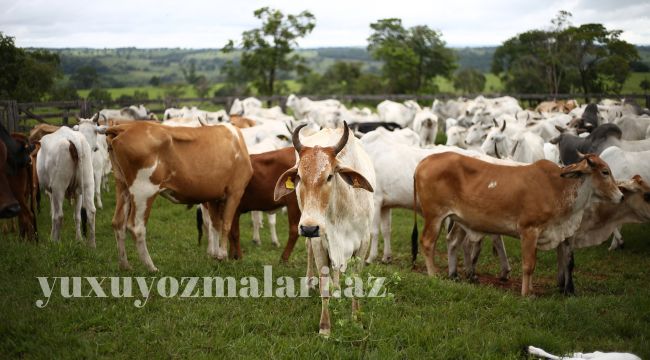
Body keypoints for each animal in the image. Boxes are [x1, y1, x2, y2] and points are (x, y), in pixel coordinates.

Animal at [106, 121, 251, 270]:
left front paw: (215, 256)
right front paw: (223, 255)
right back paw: (151, 267)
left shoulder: (213, 197)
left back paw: (125, 265)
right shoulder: (235, 191)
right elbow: (226, 224)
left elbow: (215, 225)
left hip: (122, 185)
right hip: (143, 191)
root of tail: (126, 127)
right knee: (137, 227)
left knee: (118, 223)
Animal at [274, 122, 374, 336]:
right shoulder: (320, 241)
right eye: (299, 176)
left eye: (329, 176)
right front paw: (325, 328)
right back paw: (309, 283)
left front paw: (356, 319)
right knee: (309, 251)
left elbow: (356, 282)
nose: (309, 228)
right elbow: (324, 286)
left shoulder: (364, 241)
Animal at [412, 152, 620, 296]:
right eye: (605, 172)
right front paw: (526, 294)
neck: (558, 188)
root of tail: (424, 161)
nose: (620, 195)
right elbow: (529, 265)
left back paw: (453, 275)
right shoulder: (529, 231)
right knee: (427, 243)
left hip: (455, 219)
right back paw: (433, 274)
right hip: (434, 216)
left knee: (451, 242)